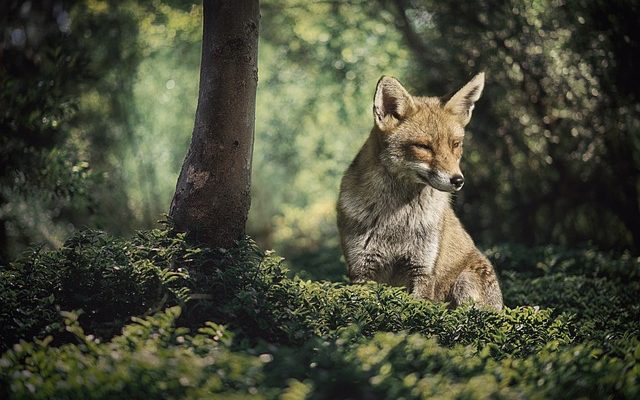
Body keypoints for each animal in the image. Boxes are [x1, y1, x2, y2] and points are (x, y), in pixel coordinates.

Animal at [338, 73, 502, 310]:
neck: (396, 220)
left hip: (464, 283)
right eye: (423, 147)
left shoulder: (422, 269)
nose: (458, 180)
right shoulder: (362, 270)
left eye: (455, 144)